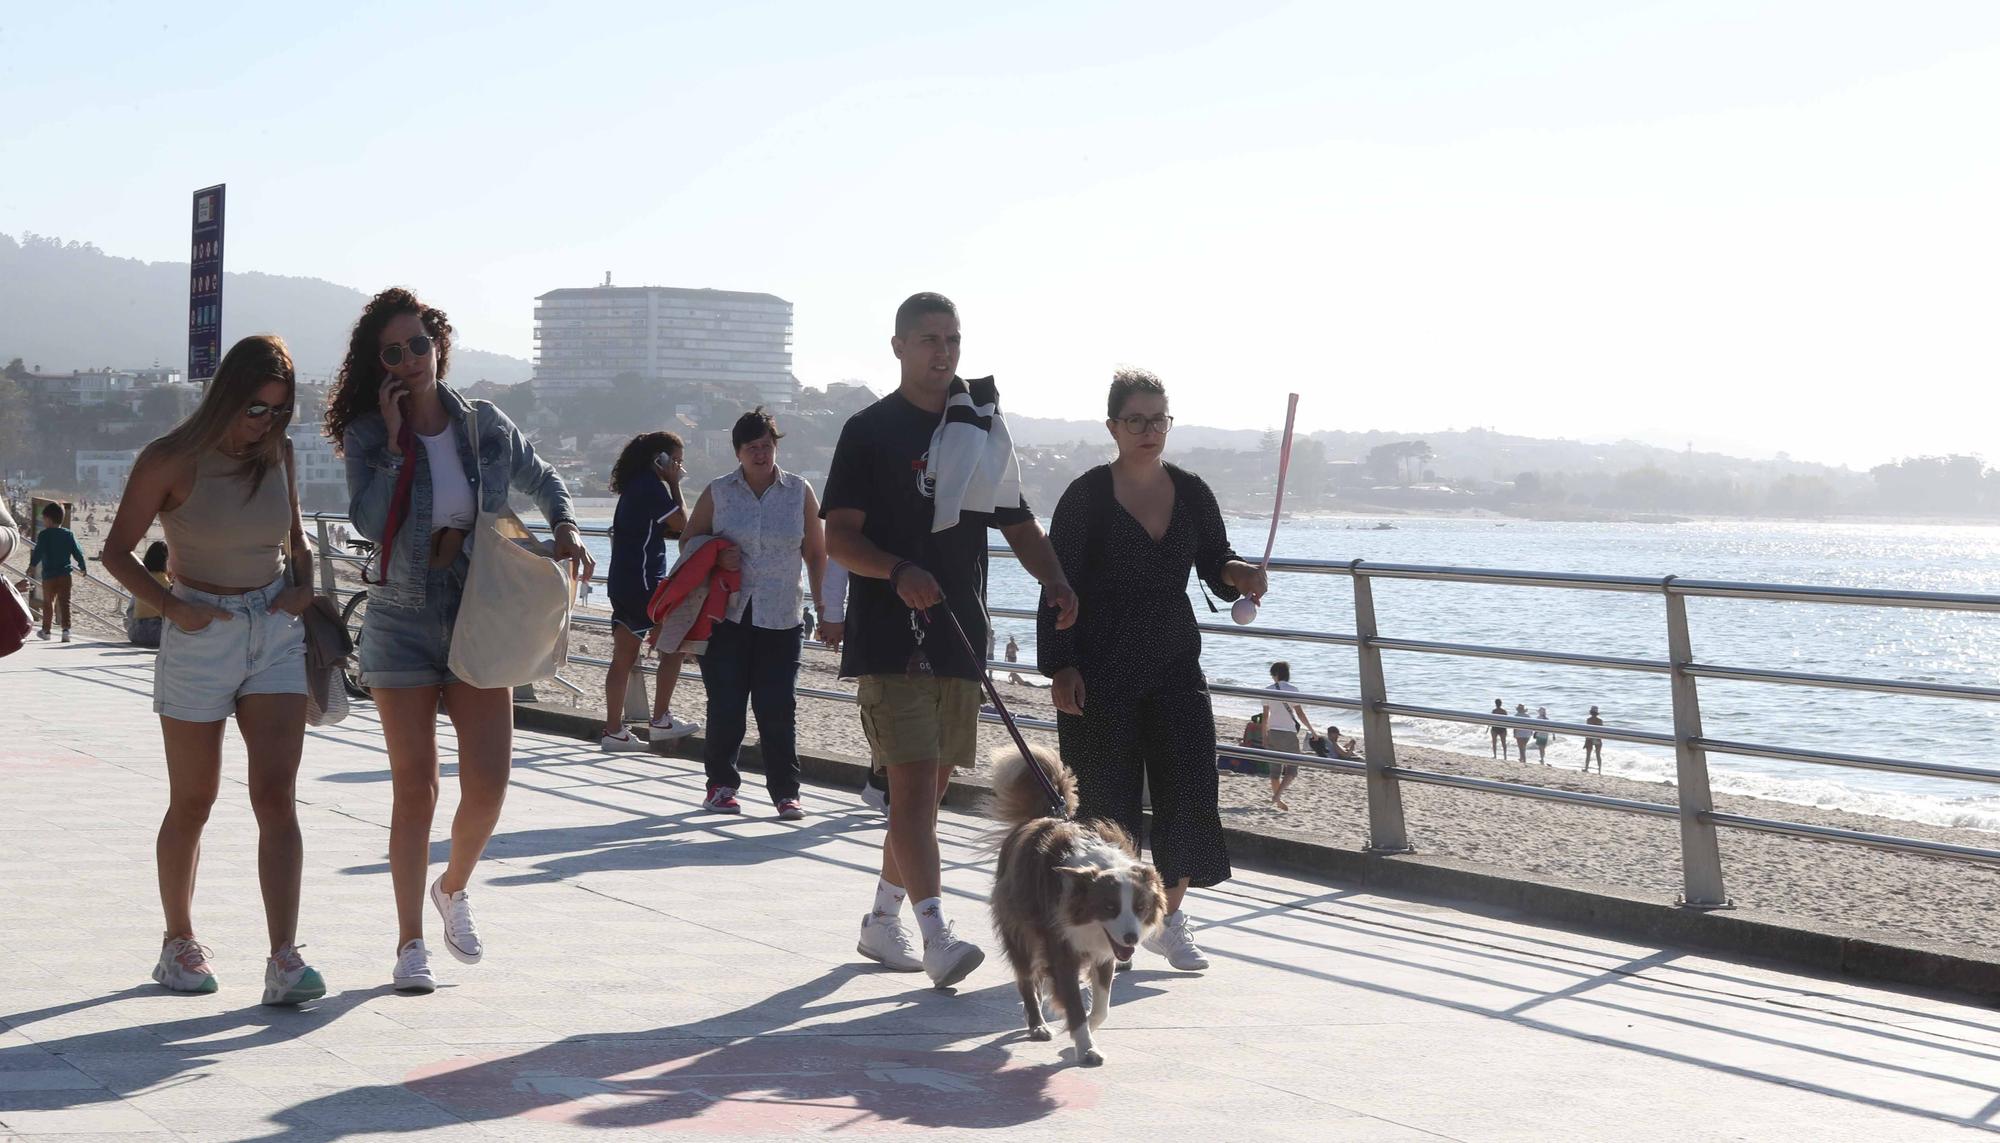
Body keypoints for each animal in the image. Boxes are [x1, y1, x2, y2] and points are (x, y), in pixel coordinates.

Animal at [988, 747, 1168, 1071]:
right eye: (1109, 907)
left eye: (1140, 907)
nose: (1132, 939)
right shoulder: (1060, 947)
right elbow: (1073, 1002)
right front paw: (1086, 1048)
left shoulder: (1106, 951)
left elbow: (1101, 1007)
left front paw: (1080, 1035)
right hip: (1018, 928)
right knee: (1026, 978)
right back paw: (1037, 1024)